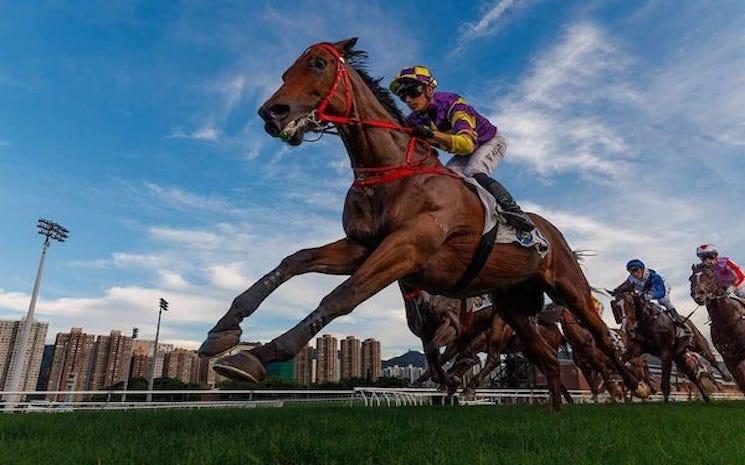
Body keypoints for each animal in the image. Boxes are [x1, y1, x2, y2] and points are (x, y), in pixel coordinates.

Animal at [199, 39, 644, 410]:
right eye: (284, 73)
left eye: (318, 63)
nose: (270, 113)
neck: (392, 168)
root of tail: (552, 231)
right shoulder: (360, 245)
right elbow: (293, 261)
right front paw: (224, 332)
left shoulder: (410, 246)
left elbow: (342, 297)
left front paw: (258, 355)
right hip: (513, 307)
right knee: (548, 359)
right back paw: (555, 412)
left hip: (568, 287)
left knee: (600, 336)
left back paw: (635, 387)